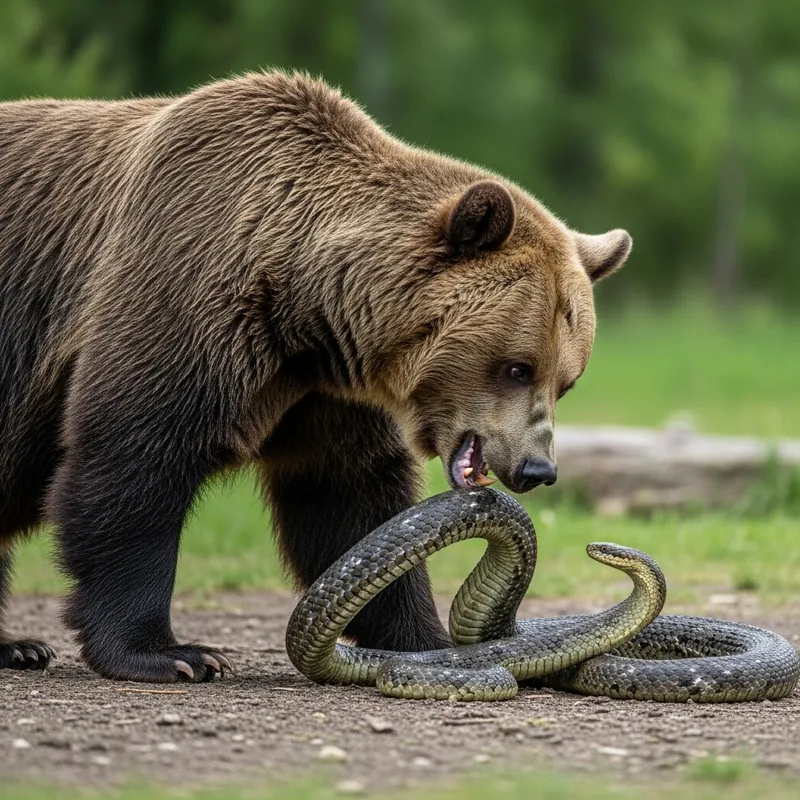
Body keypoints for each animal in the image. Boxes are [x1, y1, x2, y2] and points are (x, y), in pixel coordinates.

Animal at [0, 71, 631, 682]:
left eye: (566, 381)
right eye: (517, 367)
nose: (537, 468)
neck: (299, 306)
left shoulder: (324, 389)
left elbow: (348, 496)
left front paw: (419, 637)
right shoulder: (183, 289)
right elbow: (135, 457)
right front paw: (170, 652)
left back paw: (16, 646)